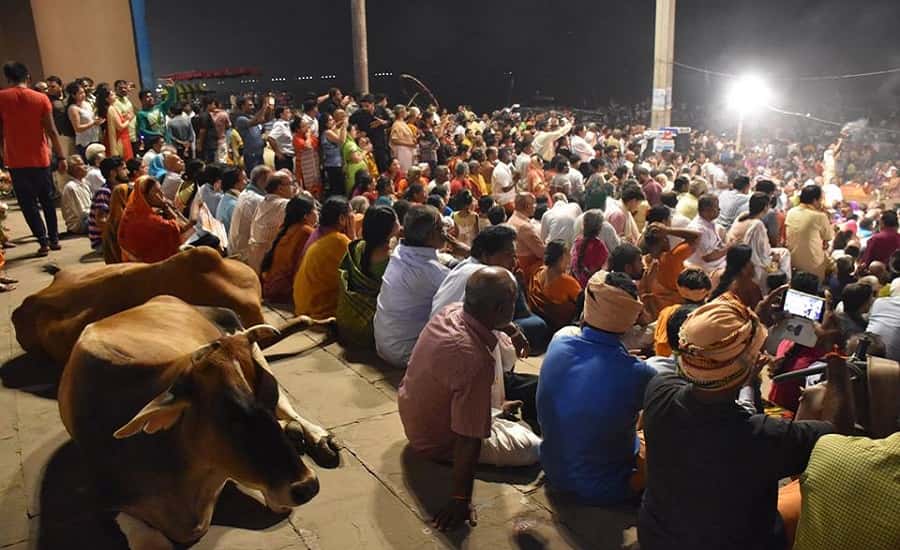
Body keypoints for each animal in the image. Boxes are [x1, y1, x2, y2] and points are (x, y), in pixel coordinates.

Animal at [59, 298, 340, 550]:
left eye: (269, 397)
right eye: (230, 417)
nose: (308, 486)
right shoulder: (101, 501)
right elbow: (150, 542)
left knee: (291, 410)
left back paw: (318, 439)